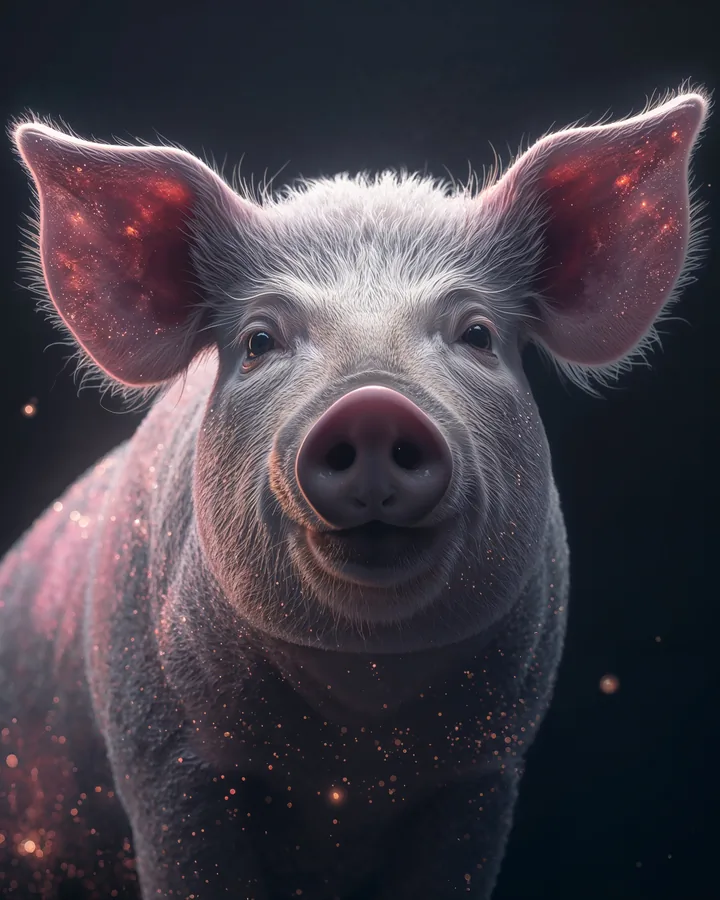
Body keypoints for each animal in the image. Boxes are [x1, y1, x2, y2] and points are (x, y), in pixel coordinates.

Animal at [0, 87, 708, 900]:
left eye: (477, 334)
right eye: (258, 342)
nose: (372, 405)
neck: (359, 744)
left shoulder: (483, 773)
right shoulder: (165, 762)